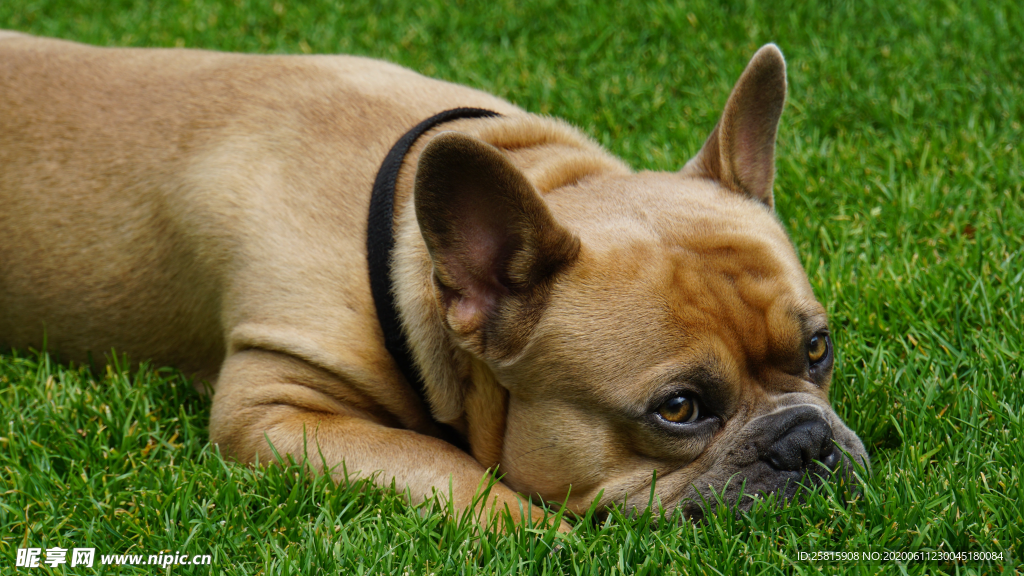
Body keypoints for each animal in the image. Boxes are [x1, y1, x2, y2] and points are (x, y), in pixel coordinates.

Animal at [0, 30, 868, 524]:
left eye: (818, 349)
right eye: (679, 409)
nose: (805, 441)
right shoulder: (272, 407)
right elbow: (451, 472)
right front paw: (544, 537)